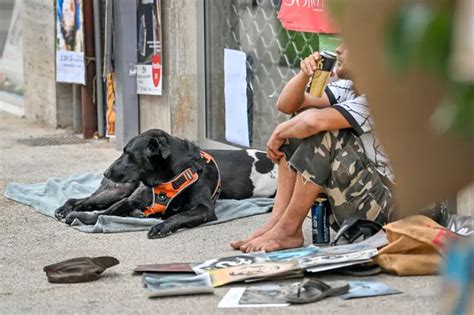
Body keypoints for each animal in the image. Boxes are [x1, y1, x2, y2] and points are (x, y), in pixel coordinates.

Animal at [55, 130, 278, 238]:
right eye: (123, 151)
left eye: (129, 154)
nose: (106, 172)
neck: (168, 179)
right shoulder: (130, 200)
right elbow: (105, 213)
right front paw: (84, 218)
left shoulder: (204, 208)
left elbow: (179, 215)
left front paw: (162, 226)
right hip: (123, 188)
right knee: (86, 200)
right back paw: (66, 209)